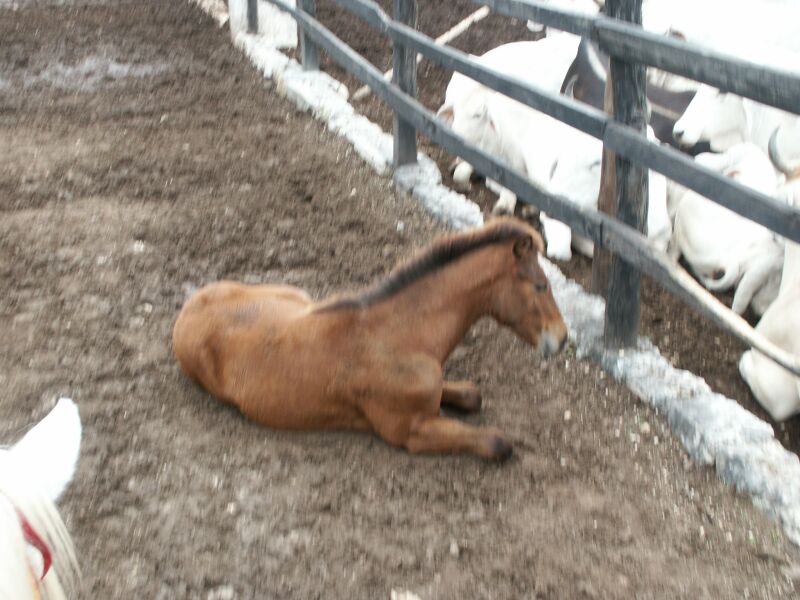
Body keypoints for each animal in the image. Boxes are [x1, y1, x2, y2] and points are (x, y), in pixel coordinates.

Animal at [173, 217, 568, 460]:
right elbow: (499, 442)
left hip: (299, 298)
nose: (561, 338)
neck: (398, 335)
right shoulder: (409, 432)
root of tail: (188, 306)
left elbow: (472, 394)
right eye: (540, 285)